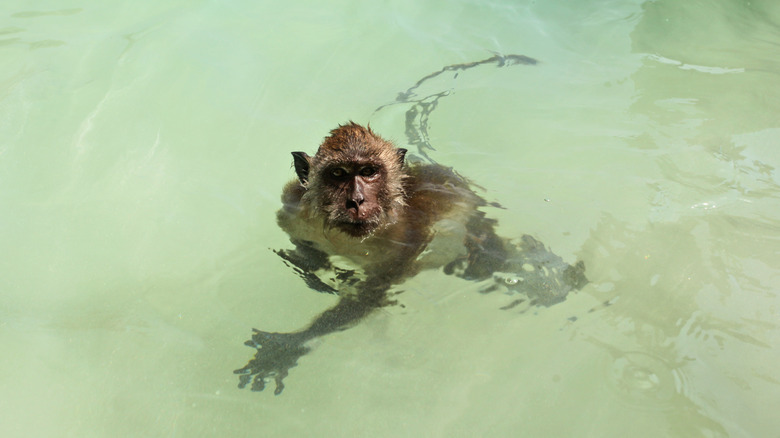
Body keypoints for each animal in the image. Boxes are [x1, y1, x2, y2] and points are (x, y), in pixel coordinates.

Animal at [234, 122, 587, 394]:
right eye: (338, 173)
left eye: (369, 171)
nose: (356, 200)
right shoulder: (293, 206)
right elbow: (300, 244)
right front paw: (315, 269)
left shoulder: (410, 238)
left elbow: (372, 293)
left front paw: (291, 344)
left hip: (473, 225)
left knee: (486, 260)